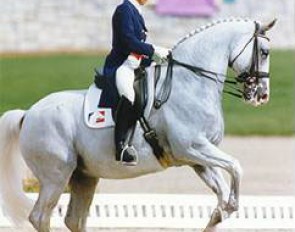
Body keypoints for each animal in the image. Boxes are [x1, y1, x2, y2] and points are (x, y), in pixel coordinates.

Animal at [0, 18, 278, 232]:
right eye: (264, 52)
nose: (262, 95)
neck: (191, 82)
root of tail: (28, 114)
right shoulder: (193, 147)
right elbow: (236, 166)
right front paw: (229, 206)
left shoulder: (196, 157)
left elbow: (223, 187)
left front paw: (220, 214)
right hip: (55, 176)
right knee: (40, 217)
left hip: (83, 177)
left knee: (74, 219)